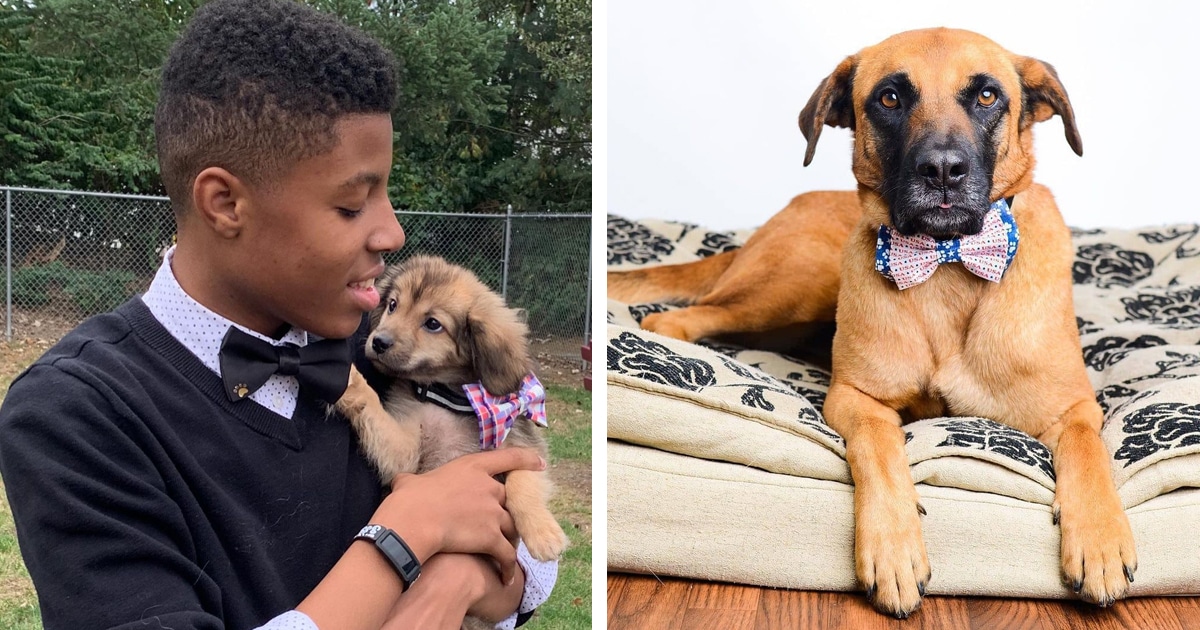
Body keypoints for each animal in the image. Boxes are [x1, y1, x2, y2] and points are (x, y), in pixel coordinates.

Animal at [333, 254, 566, 564]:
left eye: (433, 324)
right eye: (393, 305)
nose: (378, 342)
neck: (448, 398)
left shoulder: (525, 448)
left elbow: (523, 481)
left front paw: (544, 534)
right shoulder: (405, 455)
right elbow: (372, 407)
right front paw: (349, 378)